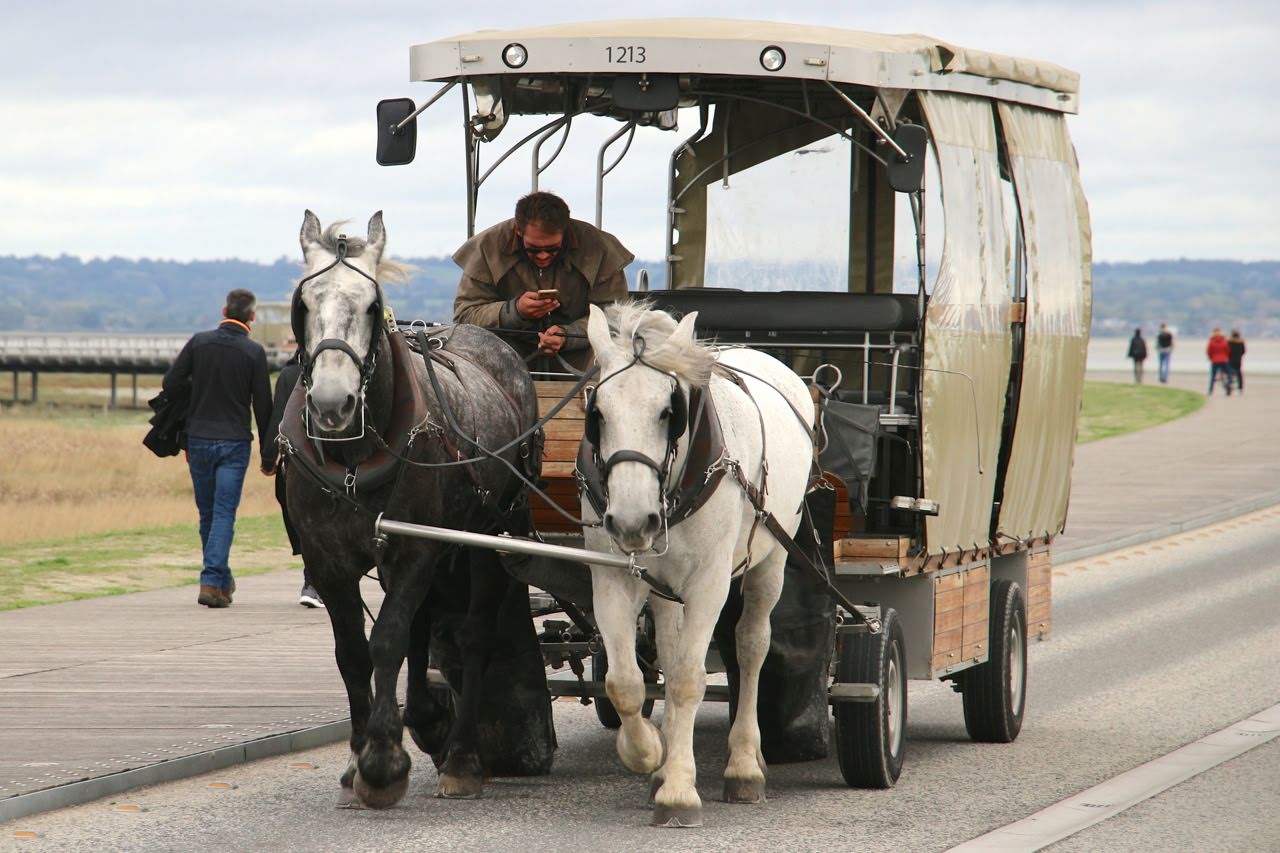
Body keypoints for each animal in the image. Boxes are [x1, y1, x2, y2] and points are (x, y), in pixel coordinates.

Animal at [581, 300, 808, 824]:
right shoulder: (613, 577)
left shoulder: (709, 582)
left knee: (751, 646)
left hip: (773, 558)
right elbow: (624, 681)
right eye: (597, 413)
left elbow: (688, 679)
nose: (631, 520)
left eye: (669, 413)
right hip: (664, 586)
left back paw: (744, 764)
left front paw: (680, 791)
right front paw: (648, 753)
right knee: (668, 644)